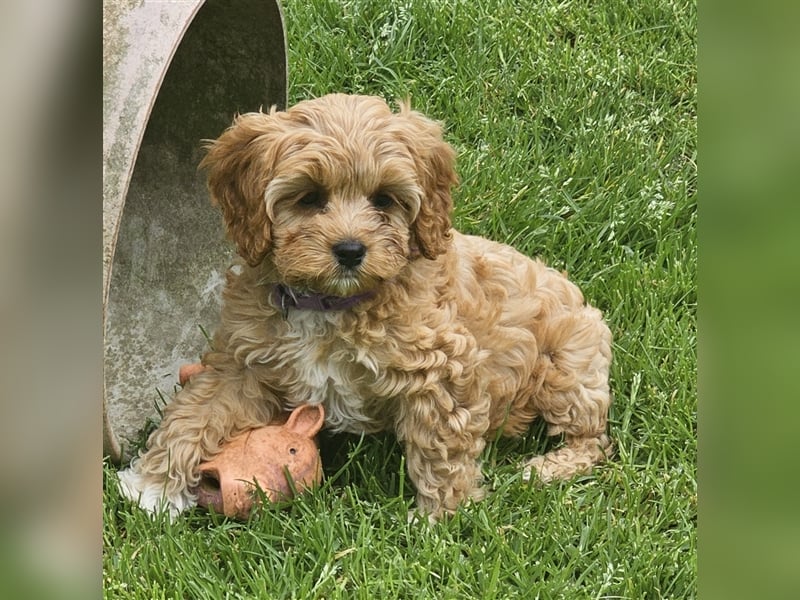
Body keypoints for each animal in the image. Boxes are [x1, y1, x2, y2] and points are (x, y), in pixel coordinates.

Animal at [117, 94, 612, 520]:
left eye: (384, 199)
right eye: (310, 197)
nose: (351, 250)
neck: (328, 303)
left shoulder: (443, 367)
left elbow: (442, 448)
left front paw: (439, 521)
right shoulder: (241, 363)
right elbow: (196, 410)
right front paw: (151, 487)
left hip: (566, 368)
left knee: (595, 439)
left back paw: (544, 469)